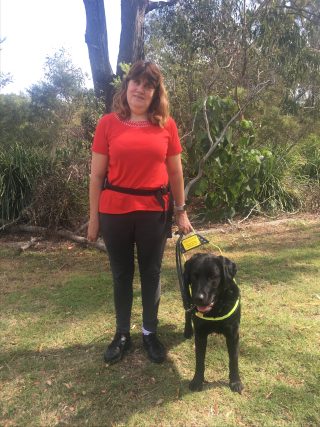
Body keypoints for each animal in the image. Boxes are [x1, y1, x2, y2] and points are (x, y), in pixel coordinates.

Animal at [184, 254, 244, 394]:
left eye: (213, 277)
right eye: (194, 276)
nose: (198, 298)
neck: (215, 309)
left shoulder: (233, 335)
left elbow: (234, 360)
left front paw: (235, 382)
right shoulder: (200, 335)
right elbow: (199, 360)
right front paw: (197, 381)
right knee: (187, 312)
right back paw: (187, 330)